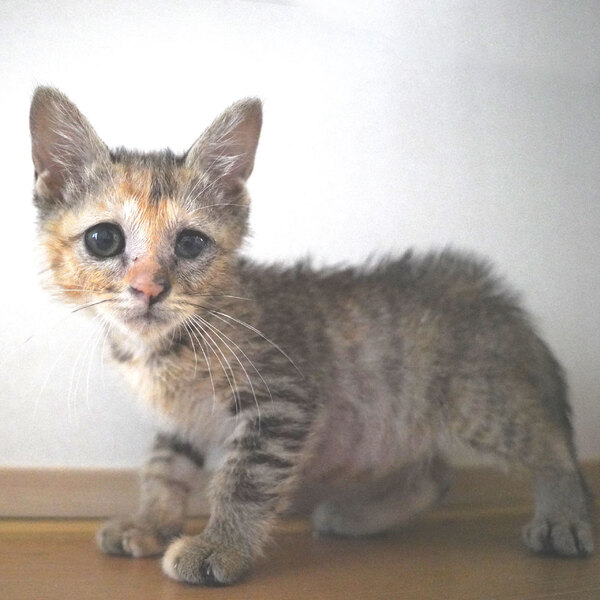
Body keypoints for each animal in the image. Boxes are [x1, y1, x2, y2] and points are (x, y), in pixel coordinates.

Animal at [29, 87, 594, 586]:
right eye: (104, 239)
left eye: (190, 243)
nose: (149, 288)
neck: (165, 347)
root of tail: (489, 290)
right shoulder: (180, 419)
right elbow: (164, 467)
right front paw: (150, 522)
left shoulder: (283, 399)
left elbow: (244, 479)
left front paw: (219, 547)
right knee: (435, 474)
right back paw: (358, 516)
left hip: (477, 398)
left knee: (549, 444)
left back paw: (563, 517)